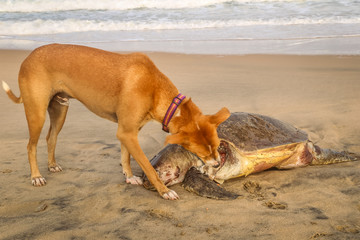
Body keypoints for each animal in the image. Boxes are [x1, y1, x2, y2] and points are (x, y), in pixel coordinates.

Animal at [1, 44, 229, 200]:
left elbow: (125, 156)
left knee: (51, 138)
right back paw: (36, 176)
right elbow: (148, 167)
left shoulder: (129, 132)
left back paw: (52, 165)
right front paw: (164, 191)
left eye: (217, 146)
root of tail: (28, 57)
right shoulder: (127, 133)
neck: (154, 88)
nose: (218, 163)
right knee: (31, 146)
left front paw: (128, 177)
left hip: (60, 110)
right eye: (202, 153)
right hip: (36, 113)